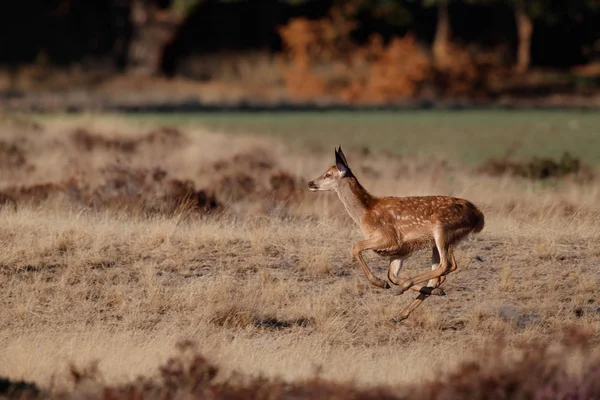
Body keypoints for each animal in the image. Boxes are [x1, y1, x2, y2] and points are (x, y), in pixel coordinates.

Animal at [308, 147, 486, 322]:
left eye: (328, 174)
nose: (310, 183)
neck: (366, 213)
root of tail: (478, 216)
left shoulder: (389, 237)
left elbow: (356, 247)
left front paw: (380, 283)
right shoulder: (401, 251)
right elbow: (392, 275)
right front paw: (397, 286)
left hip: (443, 231)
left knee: (447, 265)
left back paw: (401, 292)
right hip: (439, 242)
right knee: (439, 274)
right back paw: (401, 313)